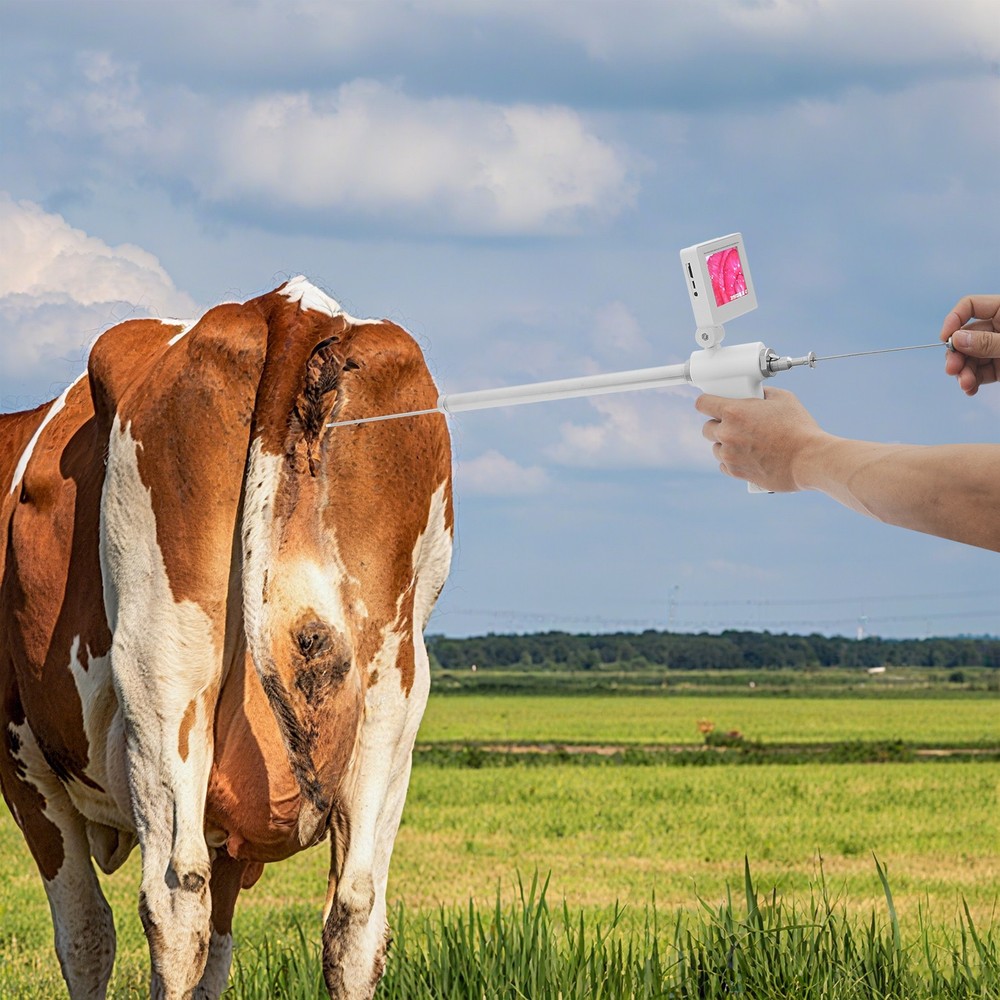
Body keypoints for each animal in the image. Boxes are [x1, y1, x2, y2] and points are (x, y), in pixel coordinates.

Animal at [0, 277, 454, 999]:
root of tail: (292, 304)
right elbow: (221, 947)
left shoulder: (21, 759)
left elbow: (87, 937)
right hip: (393, 687)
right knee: (356, 914)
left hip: (165, 675)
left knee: (174, 900)